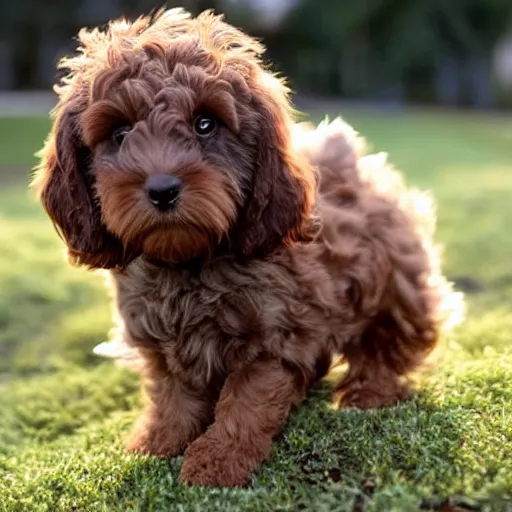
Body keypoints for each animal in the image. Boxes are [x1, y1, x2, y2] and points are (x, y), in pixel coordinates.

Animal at [34, 8, 462, 488]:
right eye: (120, 131)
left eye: (205, 124)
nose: (162, 190)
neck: (190, 263)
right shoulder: (160, 336)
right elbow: (173, 394)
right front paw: (160, 441)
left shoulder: (278, 334)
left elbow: (246, 401)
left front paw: (218, 459)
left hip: (393, 281)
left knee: (389, 338)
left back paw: (371, 391)